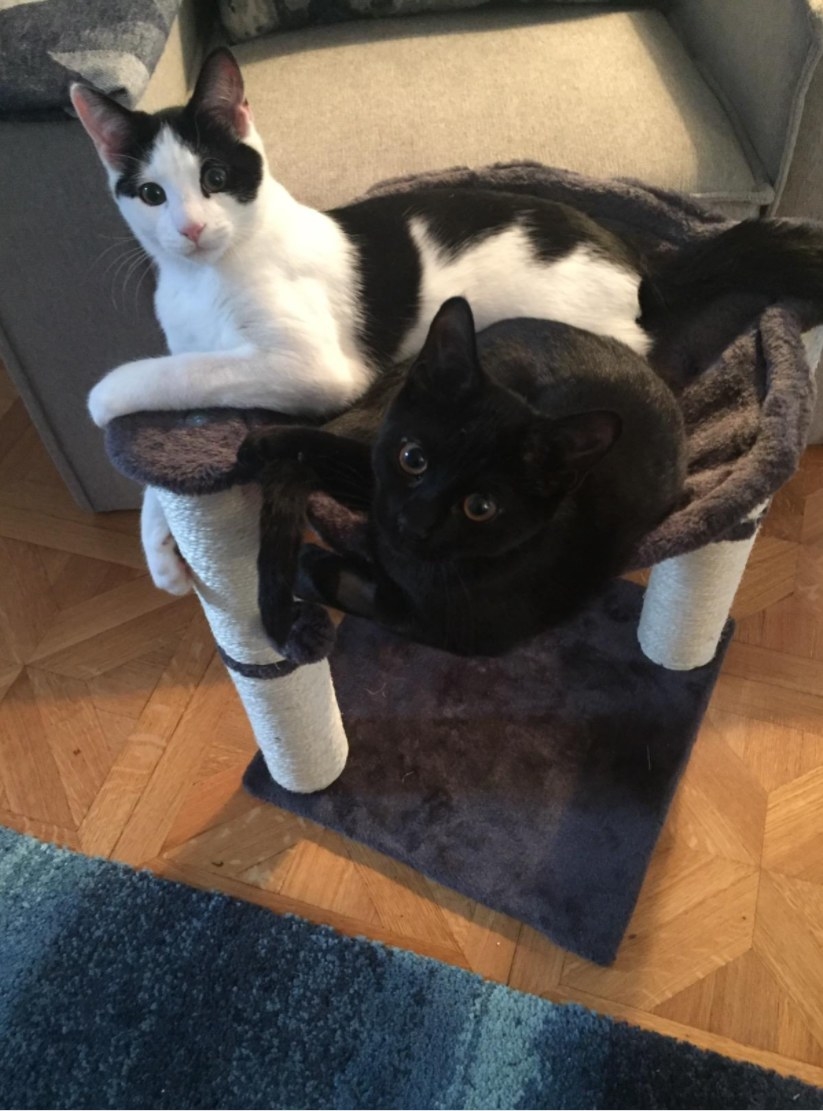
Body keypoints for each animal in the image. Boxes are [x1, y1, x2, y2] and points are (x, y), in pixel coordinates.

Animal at [72, 47, 823, 595]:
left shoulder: (315, 370)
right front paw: (164, 552)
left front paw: (105, 395)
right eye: (151, 194)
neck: (208, 277)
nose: (191, 229)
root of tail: (639, 270)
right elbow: (178, 431)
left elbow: (187, 371)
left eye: (217, 177)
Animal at [238, 297, 688, 657]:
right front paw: (262, 444)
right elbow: (336, 453)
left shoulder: (452, 629)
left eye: (481, 507)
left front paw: (304, 565)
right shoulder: (377, 487)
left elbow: (360, 591)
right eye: (412, 458)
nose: (413, 524)